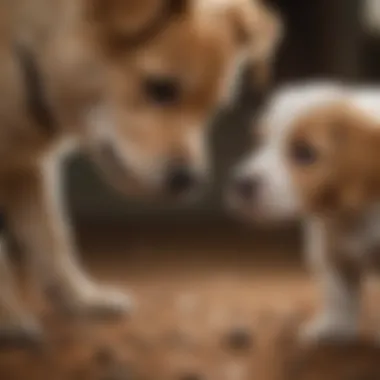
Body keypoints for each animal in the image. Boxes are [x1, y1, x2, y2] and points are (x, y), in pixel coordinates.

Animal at [0, 0, 282, 344]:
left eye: (213, 109)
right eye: (161, 88)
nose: (189, 181)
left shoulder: (31, 165)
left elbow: (52, 239)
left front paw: (82, 301)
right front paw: (8, 318)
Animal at [229, 81, 380, 342]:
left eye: (304, 153)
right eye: (259, 141)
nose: (242, 184)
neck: (353, 214)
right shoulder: (327, 245)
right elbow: (338, 291)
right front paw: (334, 328)